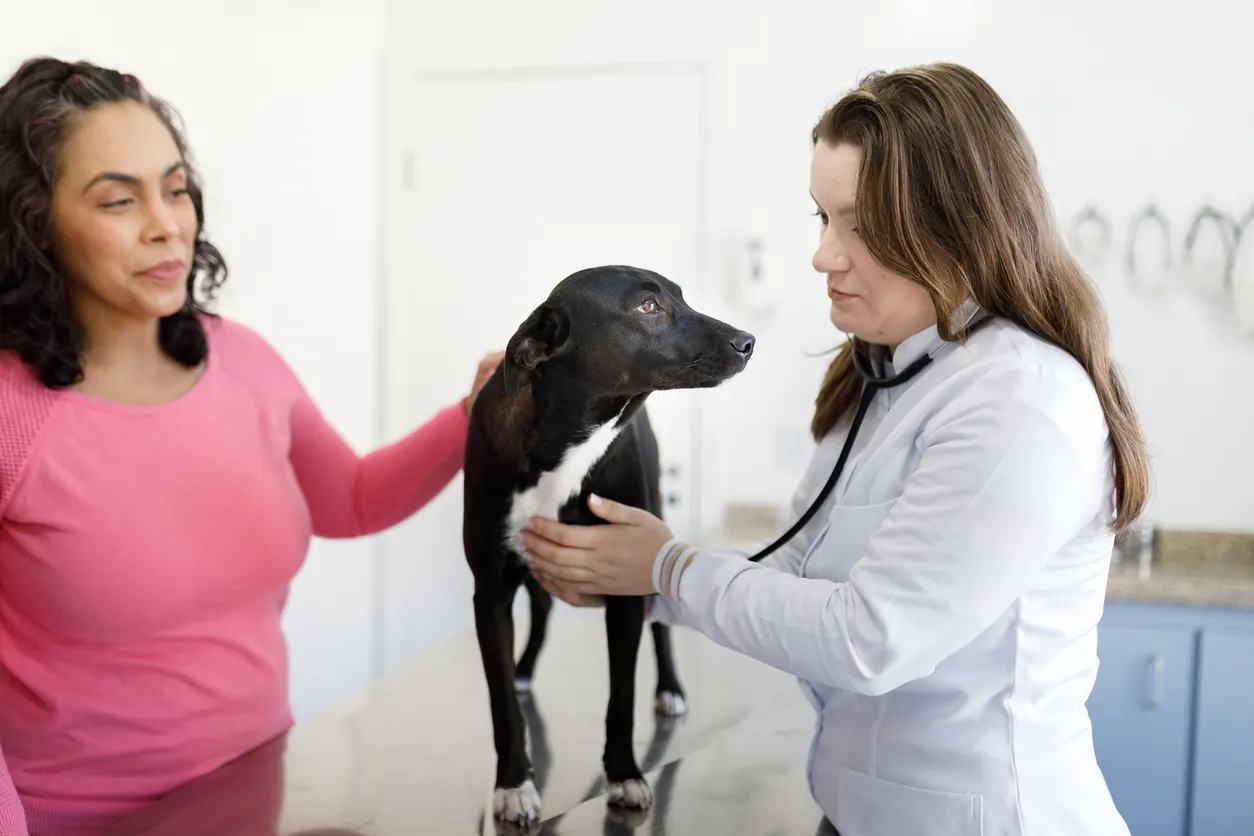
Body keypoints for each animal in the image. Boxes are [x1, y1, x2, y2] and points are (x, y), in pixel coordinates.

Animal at [461, 266, 752, 822]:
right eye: (647, 307)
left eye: (682, 297)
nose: (748, 341)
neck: (567, 448)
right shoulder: (490, 592)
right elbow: (502, 705)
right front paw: (513, 783)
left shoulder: (625, 586)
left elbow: (622, 699)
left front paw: (624, 775)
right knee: (541, 612)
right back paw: (525, 669)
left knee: (661, 627)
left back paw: (670, 688)